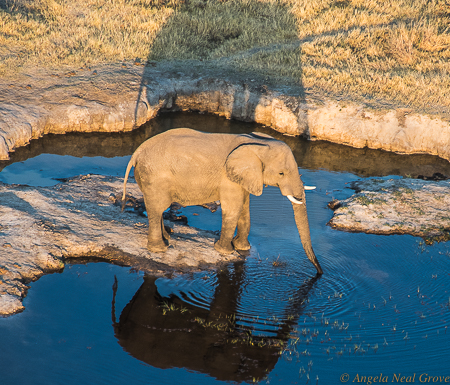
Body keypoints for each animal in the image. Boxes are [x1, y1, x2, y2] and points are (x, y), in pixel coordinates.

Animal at [121, 127, 322, 274]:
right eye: (281, 173)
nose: (319, 272)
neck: (259, 144)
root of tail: (137, 152)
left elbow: (244, 207)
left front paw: (242, 248)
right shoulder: (228, 177)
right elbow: (233, 208)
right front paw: (225, 251)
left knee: (157, 209)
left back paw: (168, 237)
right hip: (155, 177)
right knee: (157, 208)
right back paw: (160, 249)